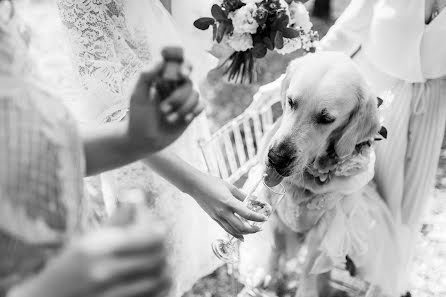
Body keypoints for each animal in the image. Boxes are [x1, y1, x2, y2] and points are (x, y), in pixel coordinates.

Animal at [242, 52, 402, 296]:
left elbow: (309, 266)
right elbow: (275, 246)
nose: (276, 158)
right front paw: (268, 273)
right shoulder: (273, 211)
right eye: (291, 102)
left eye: (326, 119)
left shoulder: (326, 227)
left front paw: (306, 291)